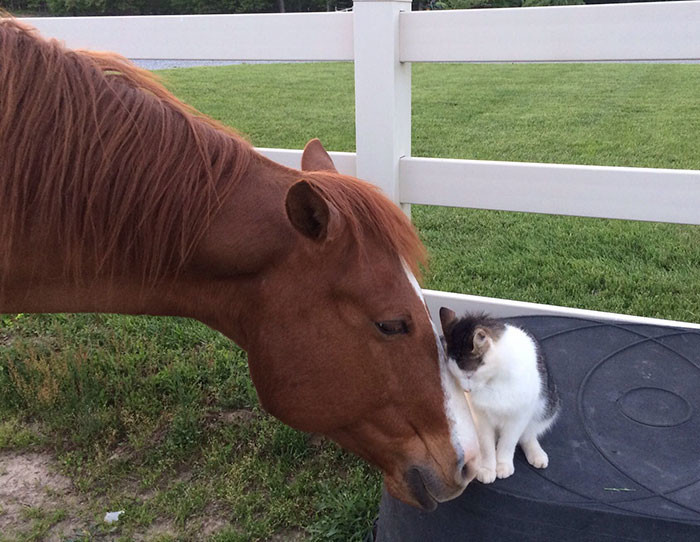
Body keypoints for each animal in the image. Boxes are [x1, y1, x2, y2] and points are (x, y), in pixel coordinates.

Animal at [440, 308, 560, 486]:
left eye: (469, 375)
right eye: (455, 375)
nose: (467, 390)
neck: (493, 381)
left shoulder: (519, 416)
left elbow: (508, 442)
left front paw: (503, 465)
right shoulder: (481, 417)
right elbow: (486, 445)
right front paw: (487, 468)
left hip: (545, 409)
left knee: (527, 435)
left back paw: (536, 454)